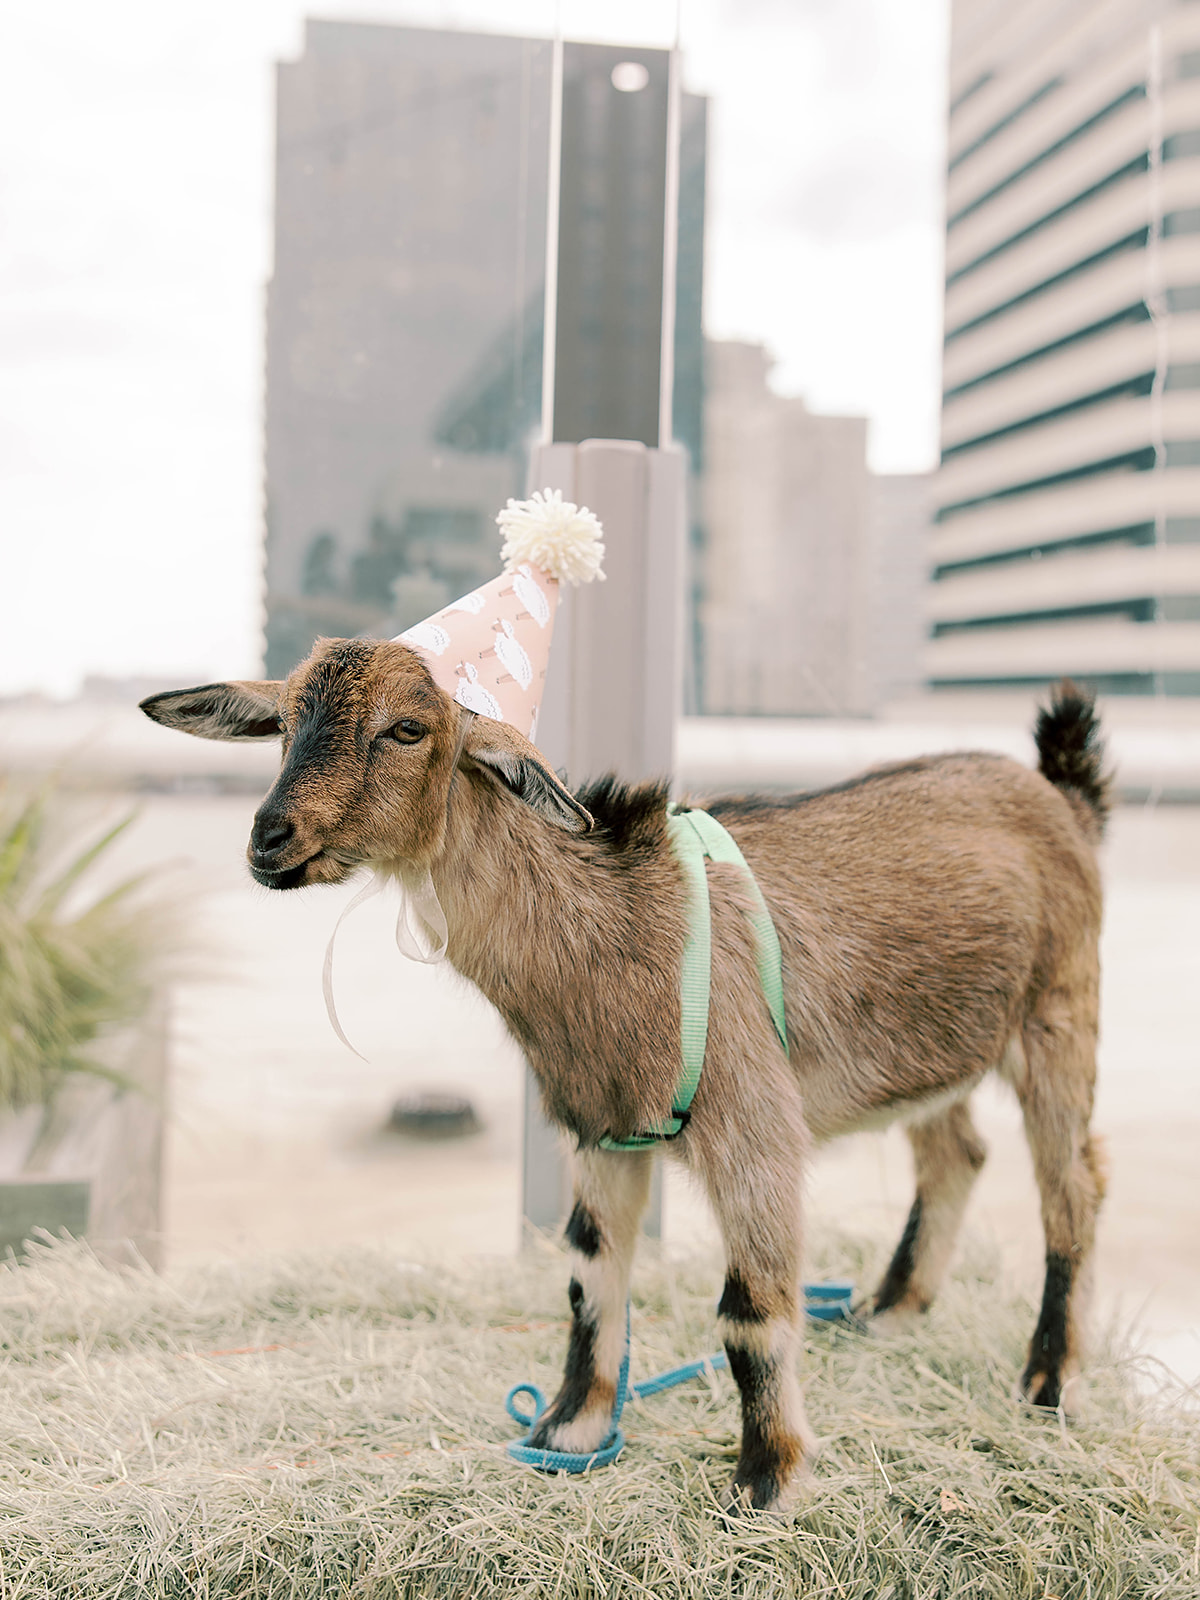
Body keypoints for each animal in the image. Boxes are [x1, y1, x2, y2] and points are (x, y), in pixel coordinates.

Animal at [141, 648, 1110, 1511]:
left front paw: (767, 1481)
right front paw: (568, 1433)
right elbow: (589, 1279)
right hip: (932, 1047)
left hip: (1060, 1012)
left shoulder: (755, 1127)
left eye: (408, 728)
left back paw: (1045, 1381)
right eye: (283, 723)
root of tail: (1060, 793)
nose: (269, 840)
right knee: (958, 1154)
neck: (618, 929)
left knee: (1071, 1189)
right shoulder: (601, 1129)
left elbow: (749, 1311)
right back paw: (891, 1311)